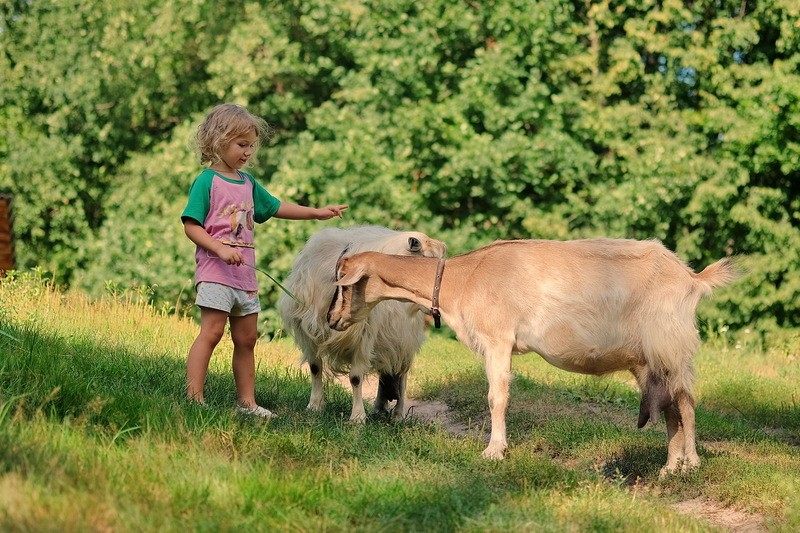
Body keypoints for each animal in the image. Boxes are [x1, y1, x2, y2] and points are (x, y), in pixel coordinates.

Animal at [278, 224, 446, 420]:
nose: (437, 305)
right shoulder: (309, 333)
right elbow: (315, 368)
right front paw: (314, 406)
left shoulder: (364, 336)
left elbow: (355, 377)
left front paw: (357, 417)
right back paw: (379, 408)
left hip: (404, 341)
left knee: (401, 375)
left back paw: (397, 415)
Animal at [328, 239, 740, 472]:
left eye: (343, 285)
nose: (331, 319)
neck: (462, 278)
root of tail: (691, 278)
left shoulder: (497, 338)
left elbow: (497, 396)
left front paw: (494, 451)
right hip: (649, 358)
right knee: (671, 407)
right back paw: (670, 467)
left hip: (670, 345)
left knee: (686, 403)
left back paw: (691, 465)